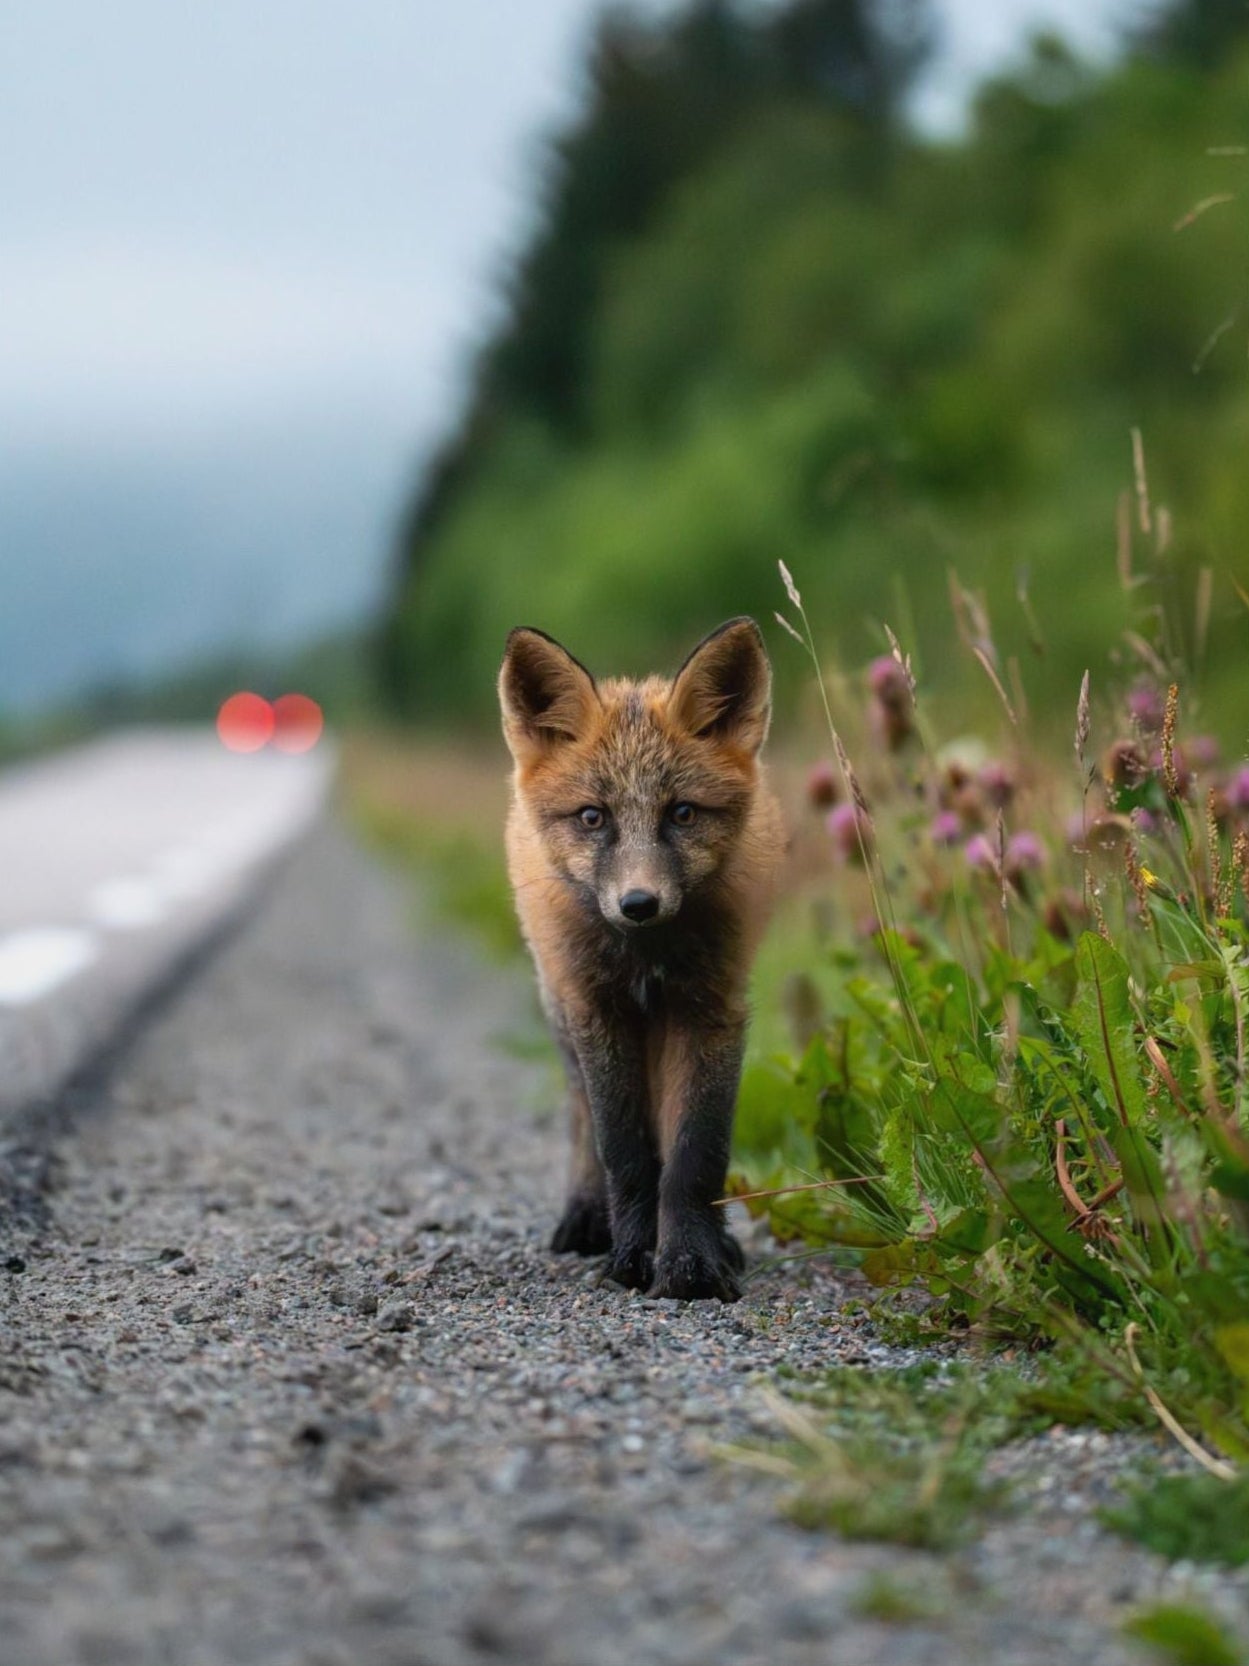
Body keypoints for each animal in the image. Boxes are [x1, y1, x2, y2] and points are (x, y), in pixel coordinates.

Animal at [498, 617, 784, 1302]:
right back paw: (585, 1216)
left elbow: (695, 1155)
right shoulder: (598, 1011)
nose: (638, 903)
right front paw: (633, 1256)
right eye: (592, 817)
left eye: (681, 813)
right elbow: (625, 1150)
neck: (647, 959)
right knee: (582, 1120)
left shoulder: (712, 1009)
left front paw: (692, 1262)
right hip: (563, 1009)